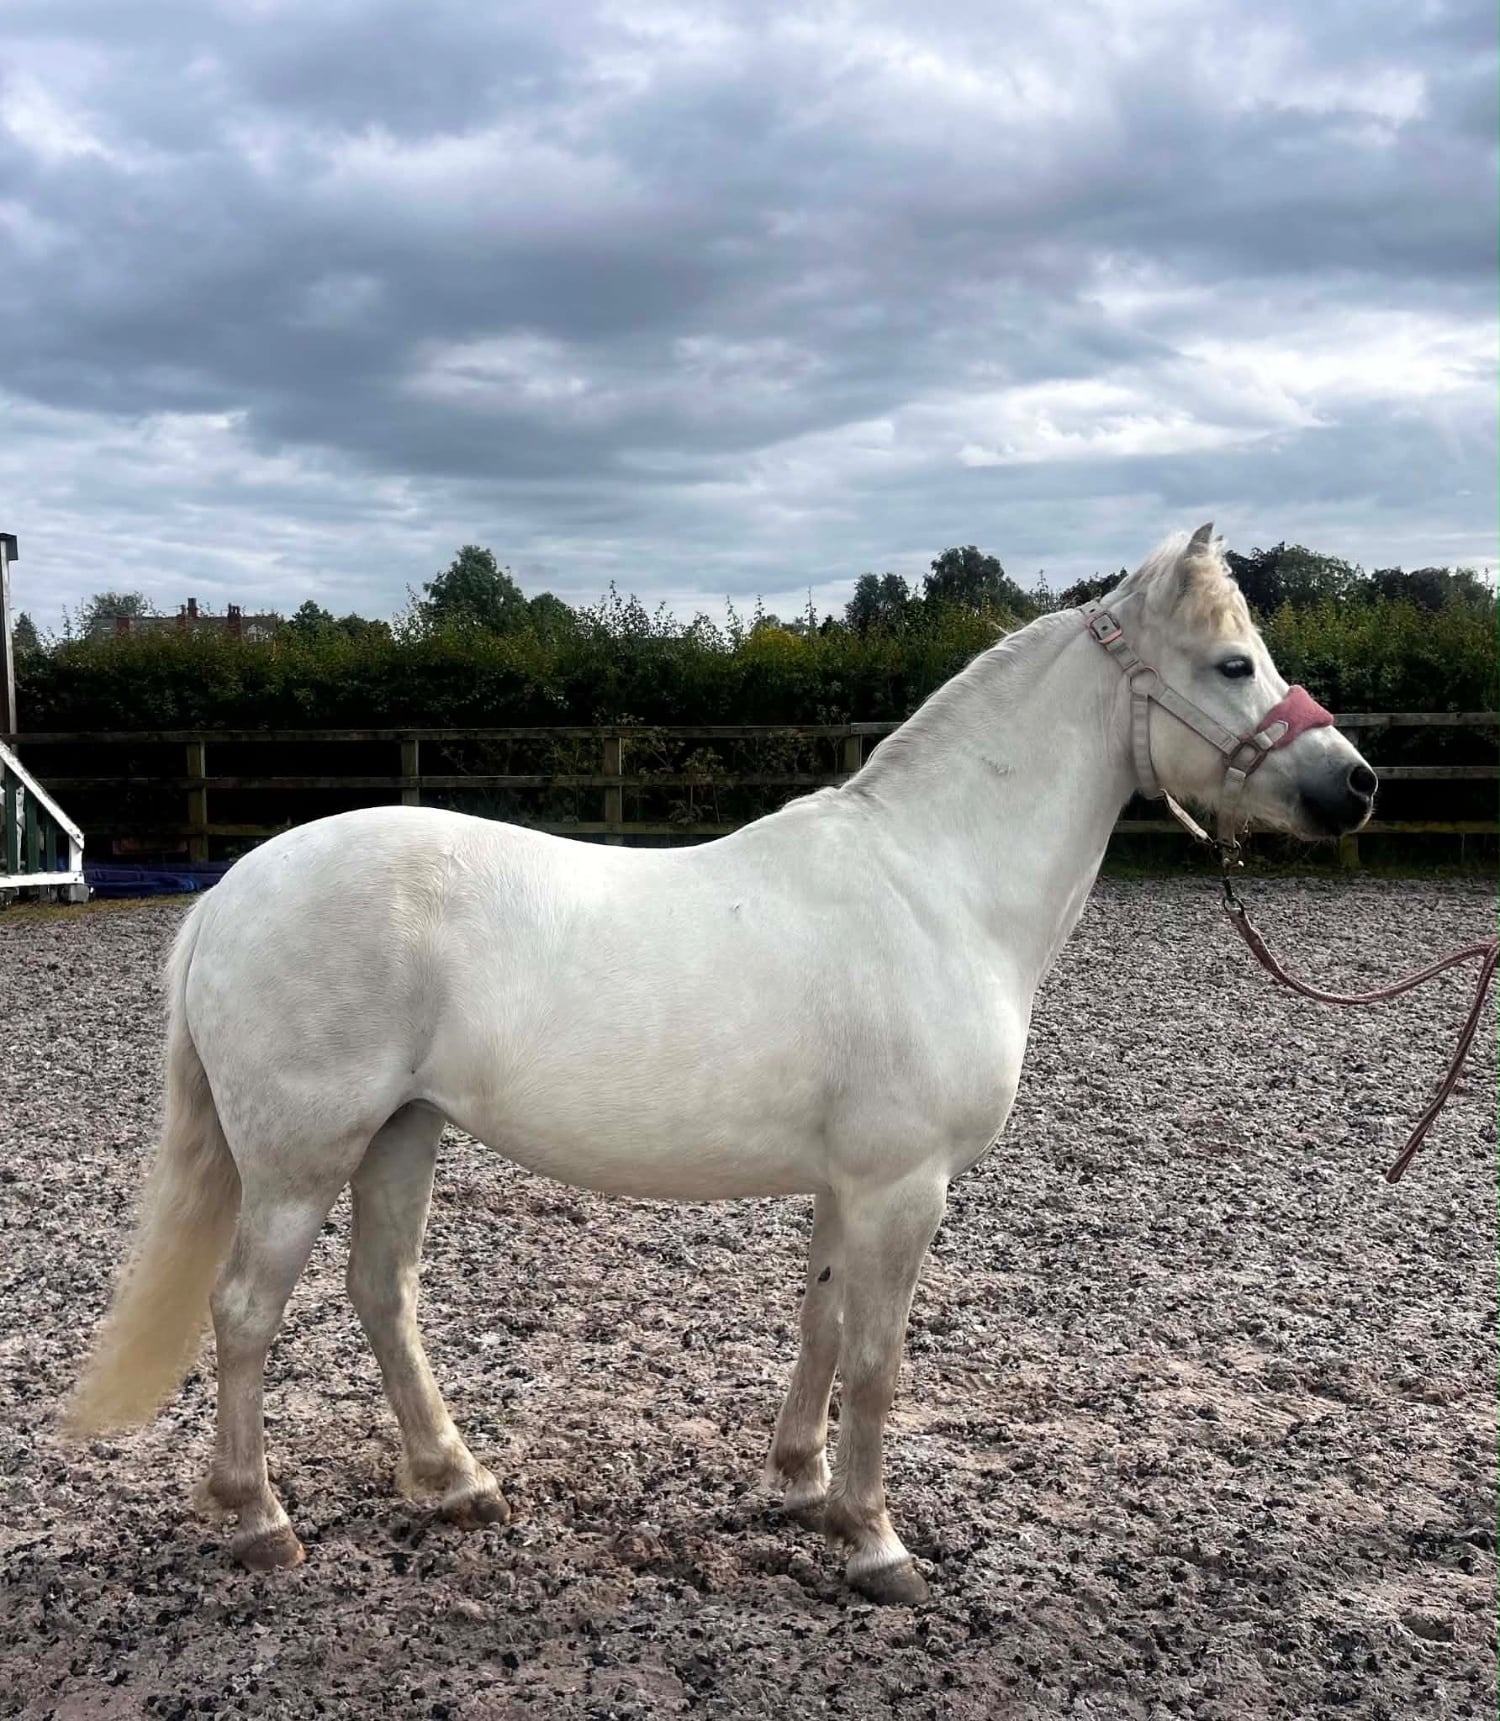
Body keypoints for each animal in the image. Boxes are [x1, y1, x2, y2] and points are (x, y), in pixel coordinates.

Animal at [64, 526, 1375, 1604]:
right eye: (1234, 664)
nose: (1354, 785)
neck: (938, 884)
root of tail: (233, 889)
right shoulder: (906, 1185)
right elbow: (879, 1358)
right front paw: (876, 1542)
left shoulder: (852, 1183)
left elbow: (821, 1324)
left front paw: (800, 1485)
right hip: (301, 1155)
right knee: (245, 1311)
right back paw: (260, 1521)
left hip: (403, 1131)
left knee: (382, 1293)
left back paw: (456, 1481)